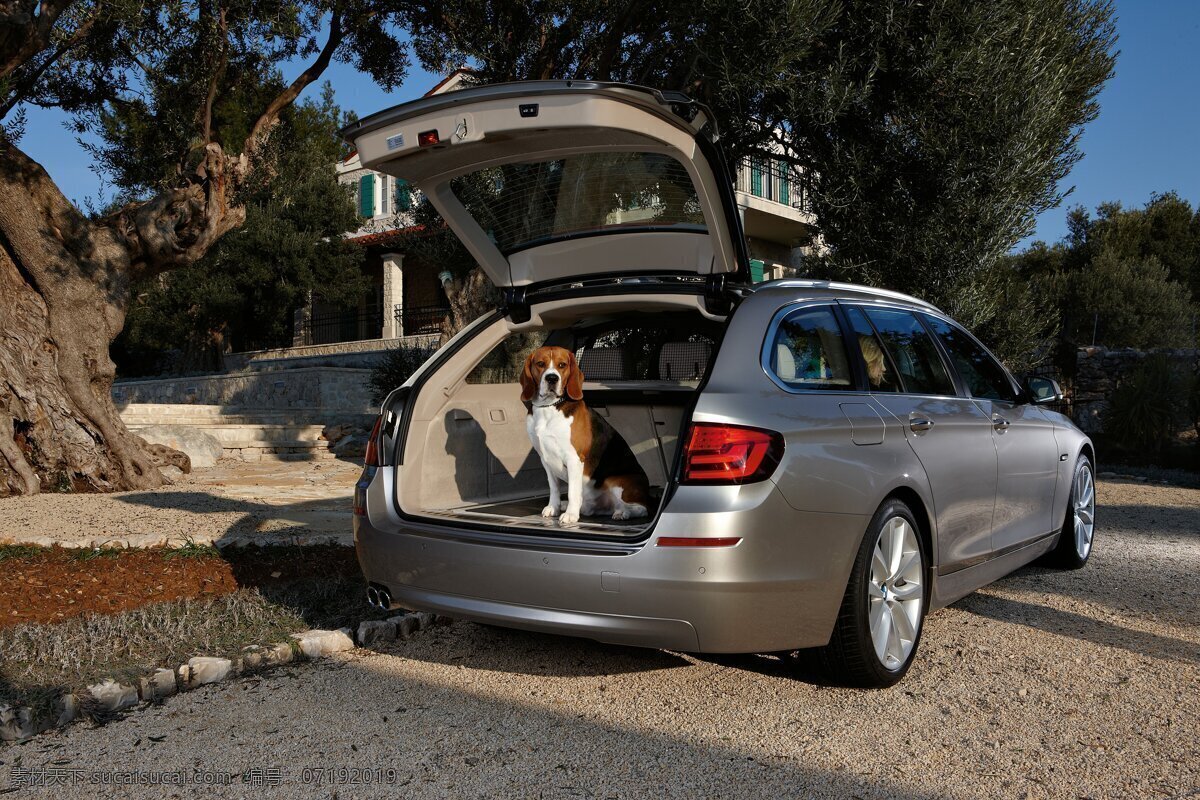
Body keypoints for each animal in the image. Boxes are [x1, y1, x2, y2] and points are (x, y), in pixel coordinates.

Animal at [520, 343, 652, 525]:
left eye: (562, 365)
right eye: (540, 364)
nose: (552, 379)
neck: (550, 407)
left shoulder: (574, 458)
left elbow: (572, 491)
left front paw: (570, 514)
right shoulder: (545, 458)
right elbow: (554, 487)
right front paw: (553, 507)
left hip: (615, 482)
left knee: (642, 509)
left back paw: (623, 512)